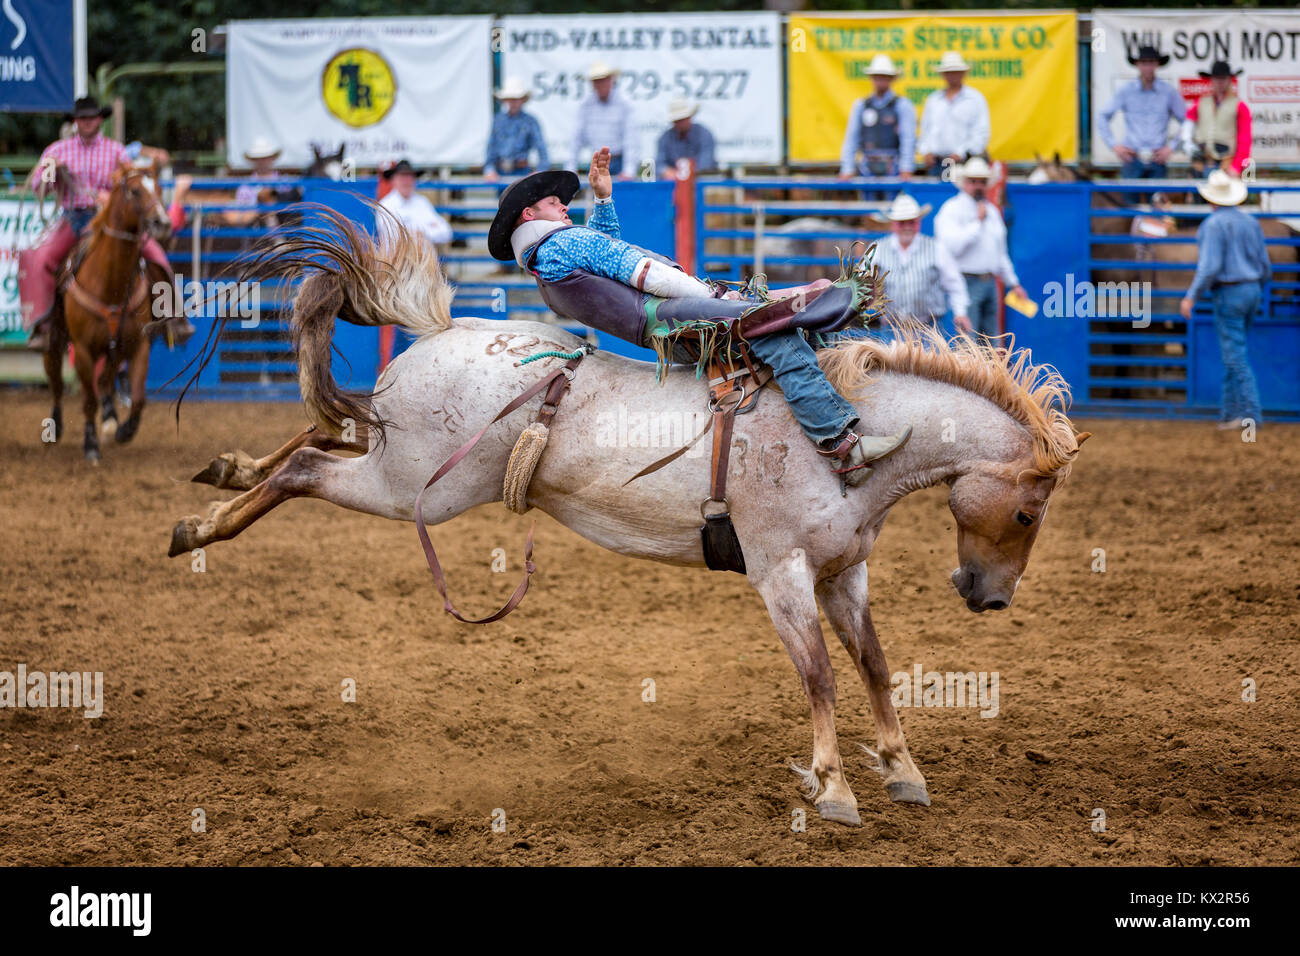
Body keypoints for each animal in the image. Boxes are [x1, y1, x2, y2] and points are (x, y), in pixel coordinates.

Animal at [46, 167, 172, 463]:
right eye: (135, 191)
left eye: (159, 188)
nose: (161, 222)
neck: (110, 283)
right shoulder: (82, 349)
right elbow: (88, 399)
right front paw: (91, 445)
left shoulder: (137, 345)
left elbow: (137, 398)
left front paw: (125, 430)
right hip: (54, 339)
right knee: (56, 382)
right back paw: (56, 427)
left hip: (115, 350)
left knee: (105, 381)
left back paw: (111, 420)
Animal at [170, 213, 1086, 827]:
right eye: (1028, 511)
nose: (989, 598)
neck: (848, 436)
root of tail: (440, 330)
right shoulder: (781, 572)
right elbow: (821, 676)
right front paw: (832, 788)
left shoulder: (842, 572)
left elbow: (874, 666)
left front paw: (902, 771)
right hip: (411, 486)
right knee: (308, 466)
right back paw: (204, 527)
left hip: (400, 459)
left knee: (321, 431)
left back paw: (222, 481)